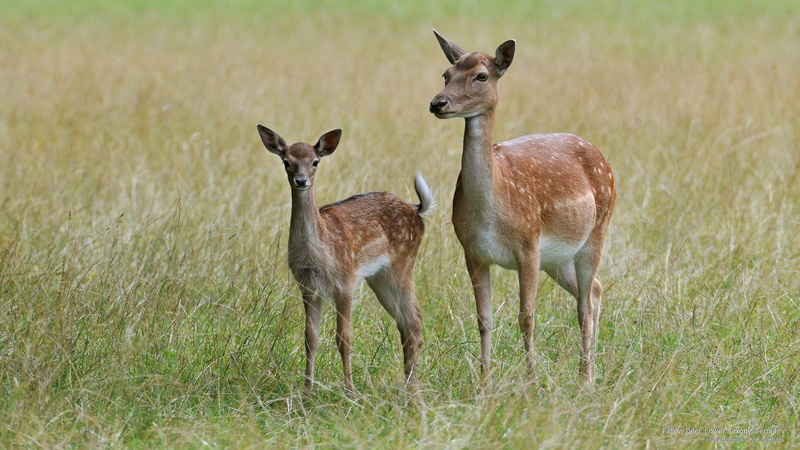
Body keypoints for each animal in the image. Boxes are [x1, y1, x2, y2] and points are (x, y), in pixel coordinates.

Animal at [256, 125, 433, 395]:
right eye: (287, 162)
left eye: (315, 161)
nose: (301, 180)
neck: (319, 252)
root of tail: (416, 209)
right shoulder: (307, 286)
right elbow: (310, 338)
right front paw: (307, 392)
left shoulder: (345, 281)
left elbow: (344, 338)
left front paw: (350, 391)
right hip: (379, 278)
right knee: (405, 322)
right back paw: (407, 383)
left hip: (403, 263)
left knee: (415, 321)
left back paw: (410, 387)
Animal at [428, 30, 616, 383]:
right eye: (446, 74)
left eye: (481, 76)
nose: (437, 103)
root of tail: (603, 158)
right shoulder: (473, 252)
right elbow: (483, 319)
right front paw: (484, 382)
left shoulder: (528, 246)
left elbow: (526, 316)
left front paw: (531, 380)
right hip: (558, 258)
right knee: (595, 291)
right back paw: (591, 370)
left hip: (597, 230)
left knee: (585, 303)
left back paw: (585, 377)